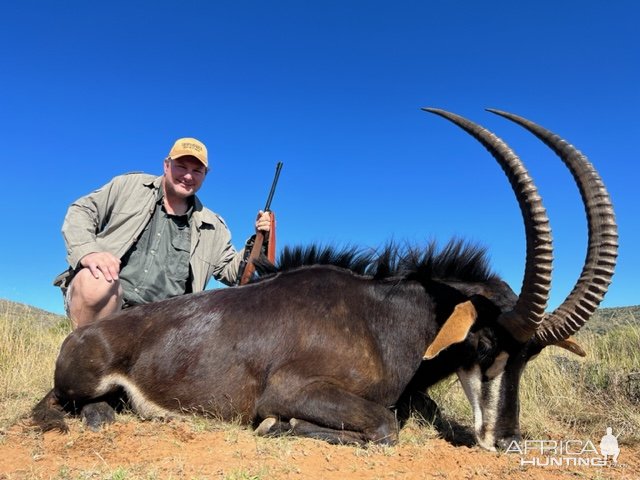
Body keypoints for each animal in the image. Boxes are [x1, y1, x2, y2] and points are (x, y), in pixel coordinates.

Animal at [30, 108, 616, 446]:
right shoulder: (294, 388)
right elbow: (385, 425)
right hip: (78, 381)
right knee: (55, 405)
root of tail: (84, 336)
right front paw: (281, 426)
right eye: (487, 342)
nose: (509, 441)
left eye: (530, 356)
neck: (385, 321)